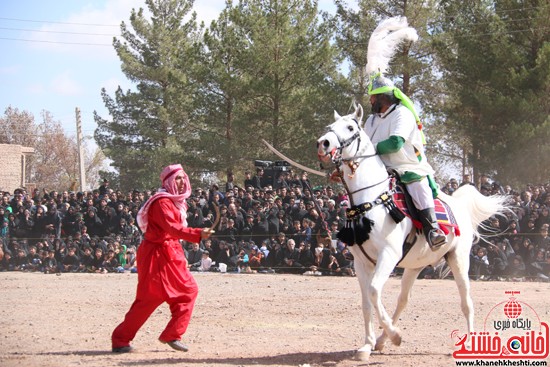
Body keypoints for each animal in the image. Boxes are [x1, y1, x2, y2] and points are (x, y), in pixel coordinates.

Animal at [316, 104, 512, 362]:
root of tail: (458, 205)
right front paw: (367, 345)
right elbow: (367, 302)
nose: (323, 143)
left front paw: (396, 336)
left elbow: (374, 291)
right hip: (414, 266)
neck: (370, 199)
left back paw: (469, 342)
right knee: (403, 300)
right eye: (330, 126)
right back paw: (381, 340)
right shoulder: (360, 262)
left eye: (350, 127)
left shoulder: (388, 255)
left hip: (458, 259)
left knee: (466, 301)